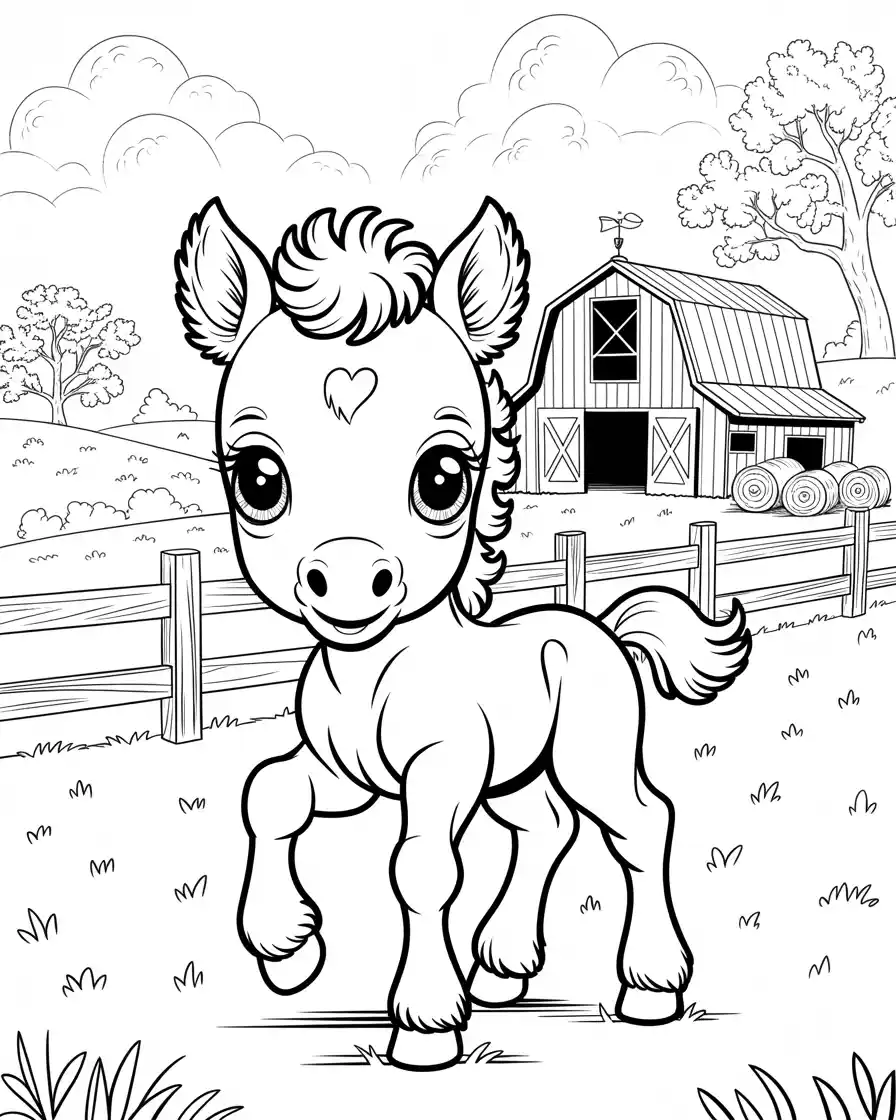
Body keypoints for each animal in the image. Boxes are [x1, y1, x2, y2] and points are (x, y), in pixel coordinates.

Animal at [173, 196, 751, 1070]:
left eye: (443, 476)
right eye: (259, 477)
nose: (350, 579)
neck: (376, 673)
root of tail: (602, 630)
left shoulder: (440, 769)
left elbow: (419, 867)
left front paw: (424, 1025)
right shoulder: (344, 773)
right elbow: (269, 793)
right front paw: (288, 948)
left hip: (589, 757)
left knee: (641, 825)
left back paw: (649, 988)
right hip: (516, 778)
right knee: (548, 829)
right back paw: (504, 969)